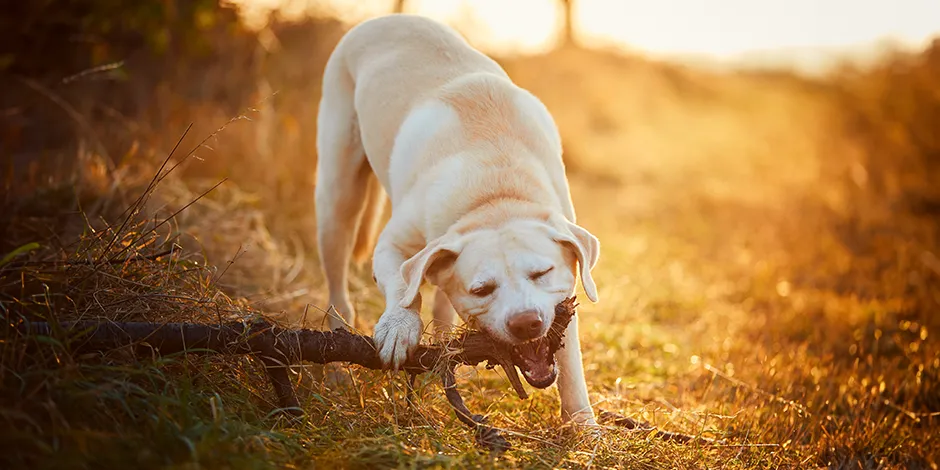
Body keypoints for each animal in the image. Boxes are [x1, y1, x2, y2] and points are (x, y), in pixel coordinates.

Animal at [312, 14, 600, 426]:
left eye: (541, 273)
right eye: (482, 290)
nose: (525, 322)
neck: (494, 192)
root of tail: (384, 18)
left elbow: (570, 362)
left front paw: (585, 429)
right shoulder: (393, 245)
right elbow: (404, 288)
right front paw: (399, 328)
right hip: (337, 196)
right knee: (338, 290)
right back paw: (337, 365)